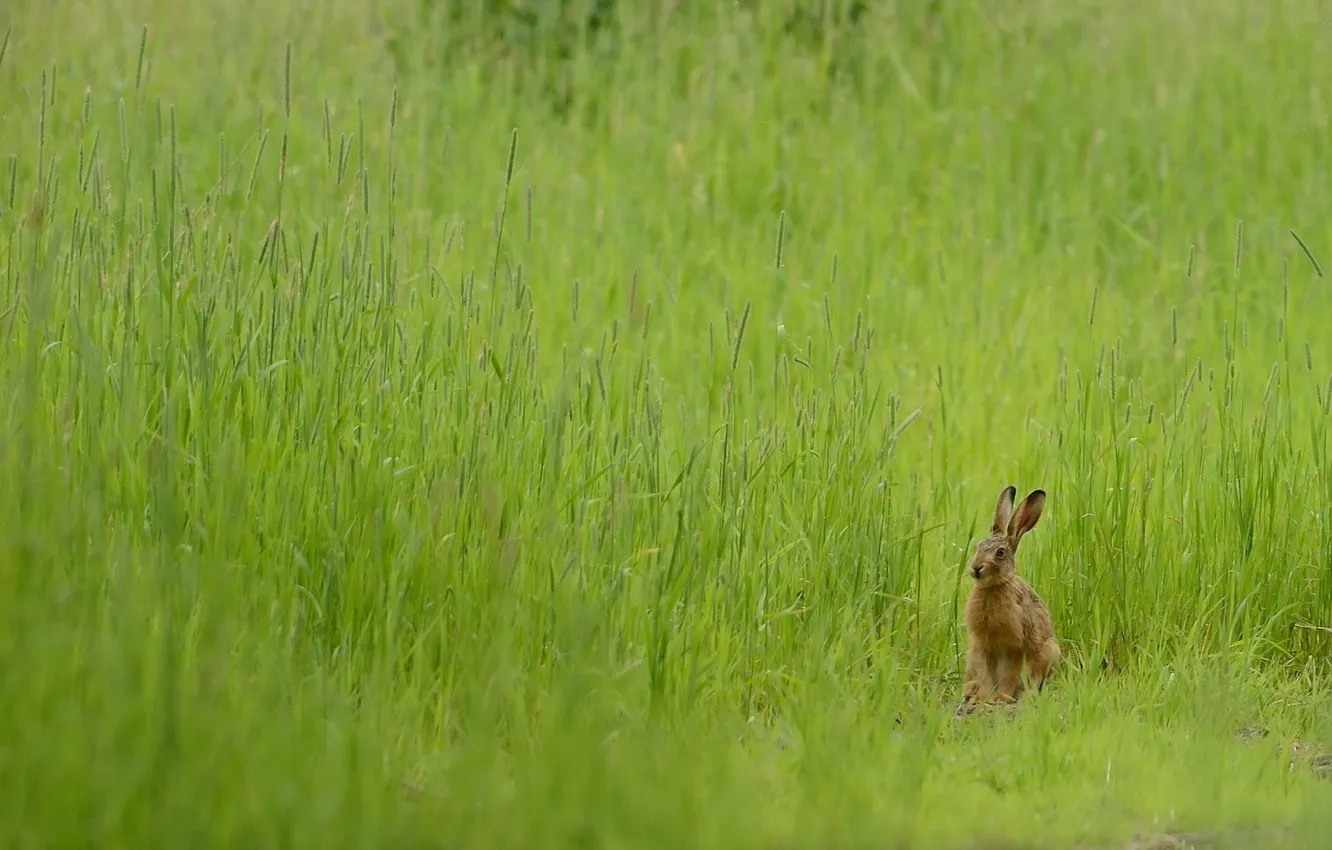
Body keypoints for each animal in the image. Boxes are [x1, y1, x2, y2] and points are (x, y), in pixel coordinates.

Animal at [961, 485, 1061, 705]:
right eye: (978, 546)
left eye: (1000, 552)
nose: (976, 568)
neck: (994, 587)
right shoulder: (983, 646)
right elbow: (986, 675)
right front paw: (982, 697)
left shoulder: (1015, 646)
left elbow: (1010, 673)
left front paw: (1000, 697)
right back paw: (970, 691)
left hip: (1047, 652)